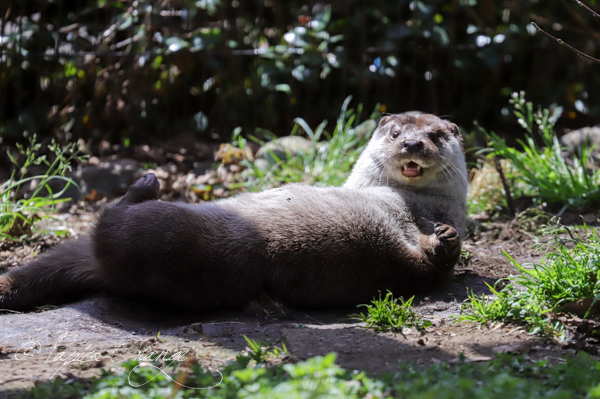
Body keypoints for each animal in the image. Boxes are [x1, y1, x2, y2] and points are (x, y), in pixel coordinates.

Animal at [0, 112, 466, 312]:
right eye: (396, 132)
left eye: (436, 135)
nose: (413, 144)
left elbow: (426, 262)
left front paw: (441, 239)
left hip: (161, 232)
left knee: (111, 221)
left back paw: (146, 185)